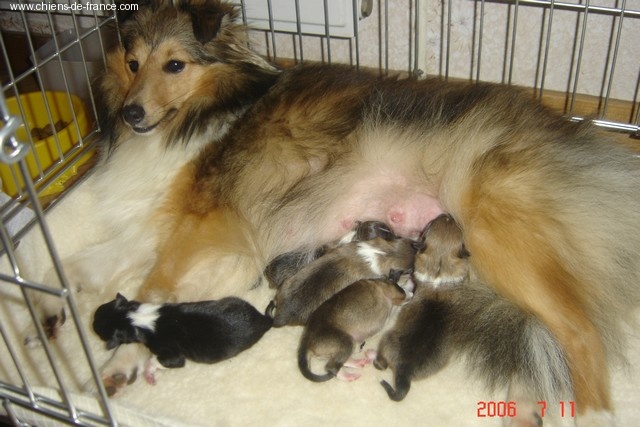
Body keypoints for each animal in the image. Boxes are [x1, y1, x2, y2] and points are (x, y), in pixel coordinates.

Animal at [92, 296, 270, 372]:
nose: (92, 321)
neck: (134, 317)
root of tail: (263, 319)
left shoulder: (170, 354)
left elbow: (165, 361)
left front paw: (152, 365)